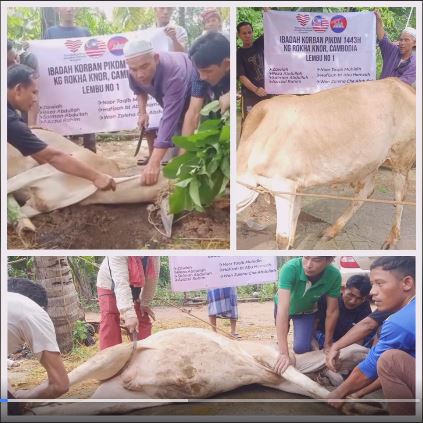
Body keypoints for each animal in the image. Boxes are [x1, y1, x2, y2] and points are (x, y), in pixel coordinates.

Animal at [238, 78, 418, 250]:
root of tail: (404, 86)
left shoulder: (283, 184)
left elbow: (281, 239)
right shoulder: (296, 185)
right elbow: (295, 216)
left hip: (401, 157)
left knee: (400, 198)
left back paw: (392, 238)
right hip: (370, 163)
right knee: (364, 193)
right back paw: (332, 230)